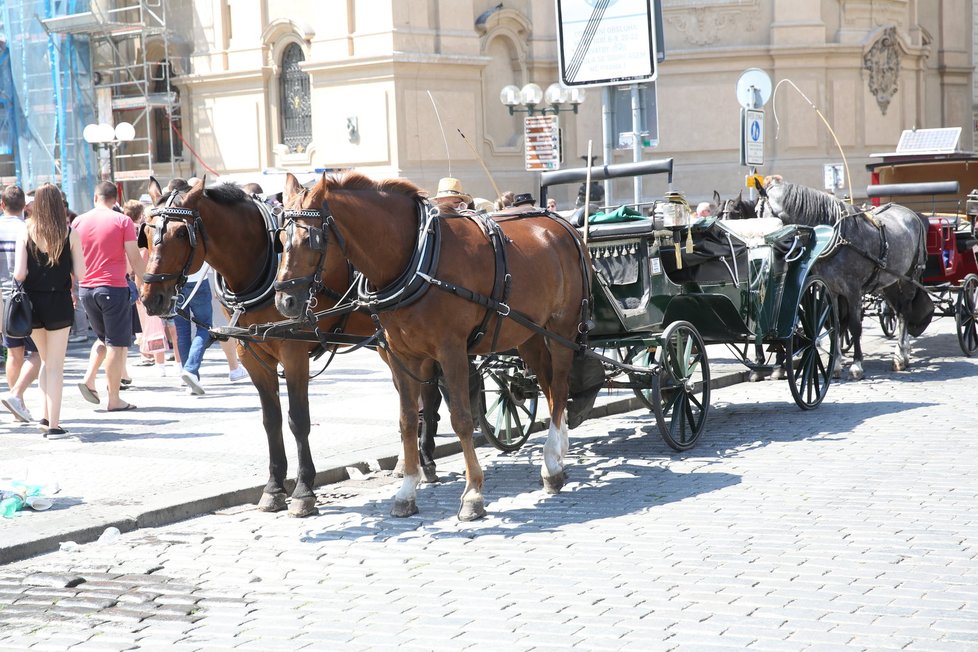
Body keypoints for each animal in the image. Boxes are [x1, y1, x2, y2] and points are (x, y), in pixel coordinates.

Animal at [136, 176, 438, 516]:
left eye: (179, 233)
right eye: (146, 234)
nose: (150, 298)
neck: (258, 265)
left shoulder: (293, 352)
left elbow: (298, 419)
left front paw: (304, 490)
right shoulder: (251, 354)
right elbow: (272, 421)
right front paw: (274, 488)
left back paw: (425, 461)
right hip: (389, 343)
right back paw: (409, 462)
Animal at [272, 172, 588, 520]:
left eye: (311, 240)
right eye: (280, 240)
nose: (284, 301)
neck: (418, 258)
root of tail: (562, 224)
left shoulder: (451, 351)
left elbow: (461, 418)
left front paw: (473, 493)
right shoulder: (403, 356)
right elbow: (409, 419)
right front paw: (407, 490)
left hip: (561, 328)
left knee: (560, 386)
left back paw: (551, 463)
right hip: (528, 333)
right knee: (548, 386)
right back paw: (557, 456)